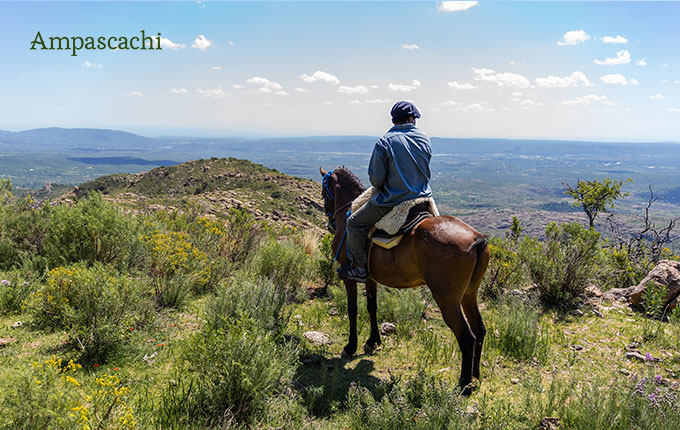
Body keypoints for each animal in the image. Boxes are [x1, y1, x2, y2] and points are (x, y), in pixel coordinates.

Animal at [318, 166, 488, 394]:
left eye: (324, 191)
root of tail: (476, 239)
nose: (330, 222)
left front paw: (350, 346)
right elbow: (372, 307)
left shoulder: (348, 277)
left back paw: (463, 385)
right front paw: (372, 342)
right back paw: (475, 375)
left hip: (448, 300)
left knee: (467, 337)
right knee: (480, 329)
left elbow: (352, 309)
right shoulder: (370, 277)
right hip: (469, 295)